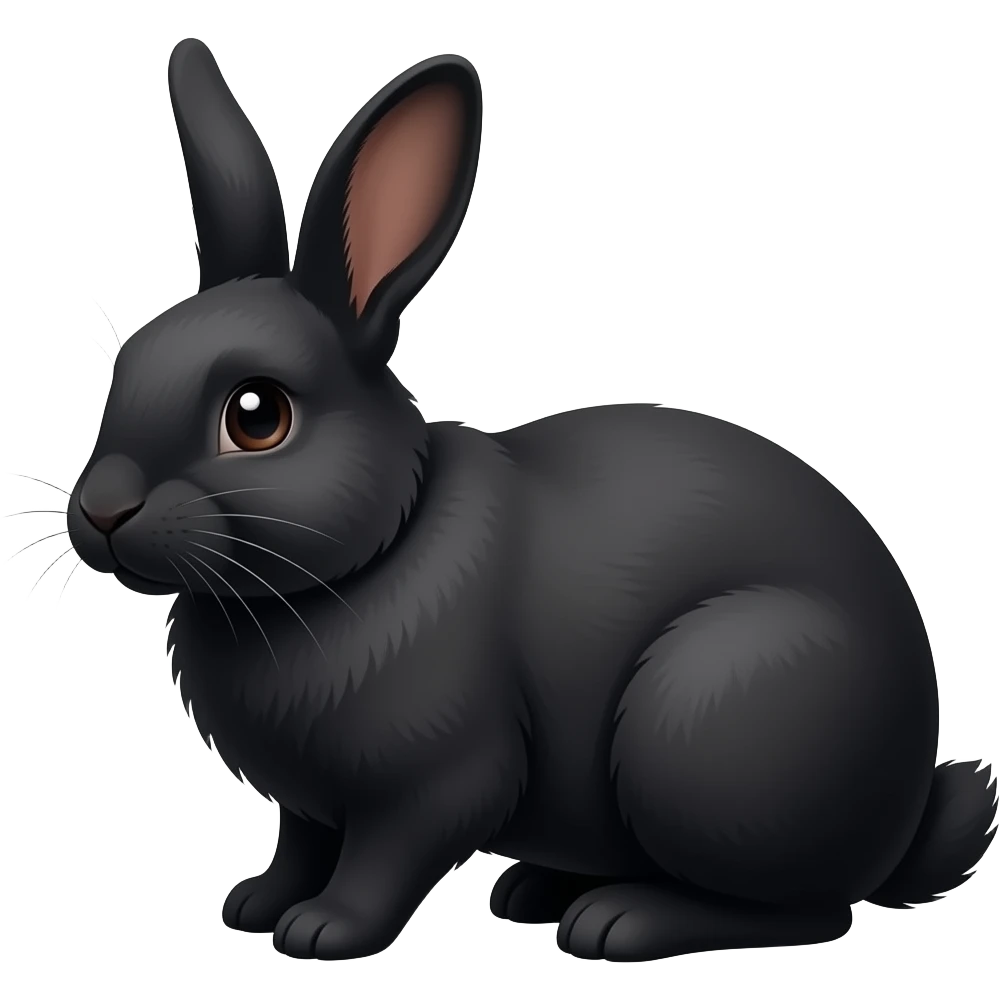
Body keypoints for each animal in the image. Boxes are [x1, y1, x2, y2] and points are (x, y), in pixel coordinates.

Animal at [67, 37, 998, 964]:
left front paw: (326, 930)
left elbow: (386, 856)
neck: (370, 555)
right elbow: (299, 842)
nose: (102, 512)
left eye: (257, 416)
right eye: (126, 368)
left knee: (808, 912)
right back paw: (534, 891)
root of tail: (903, 819)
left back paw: (620, 920)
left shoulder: (436, 781)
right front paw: (255, 904)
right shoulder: (305, 801)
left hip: (708, 715)